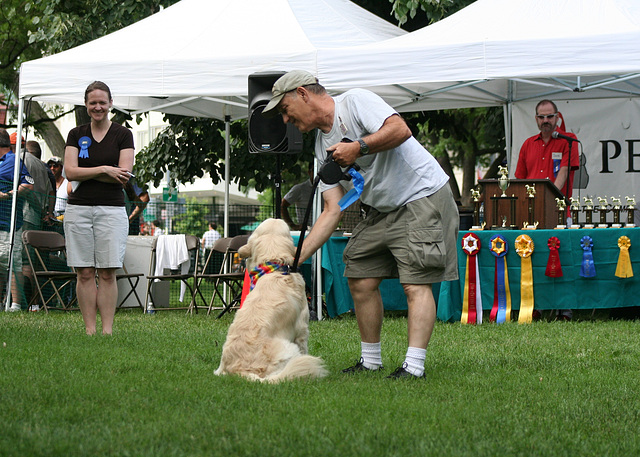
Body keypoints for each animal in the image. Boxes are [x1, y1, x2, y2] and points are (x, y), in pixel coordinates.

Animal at [215, 217, 328, 382]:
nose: (276, 217)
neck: (275, 267)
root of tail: (237, 371)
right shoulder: (302, 329)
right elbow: (304, 347)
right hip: (288, 347)